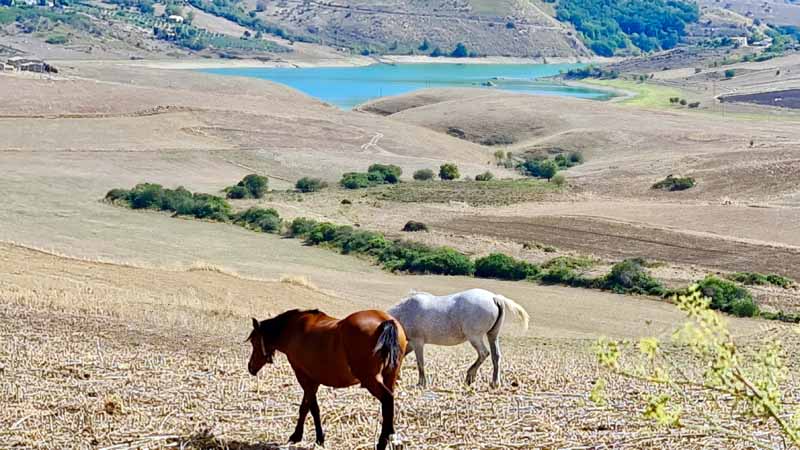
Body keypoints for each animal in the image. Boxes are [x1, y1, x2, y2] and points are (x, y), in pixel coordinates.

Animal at [245, 310, 406, 450]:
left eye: (254, 341)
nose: (250, 367)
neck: (294, 330)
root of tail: (386, 321)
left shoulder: (304, 378)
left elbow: (310, 408)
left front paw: (311, 437)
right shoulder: (313, 381)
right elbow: (308, 407)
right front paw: (305, 436)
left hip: (370, 379)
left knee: (387, 399)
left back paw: (382, 443)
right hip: (390, 376)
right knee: (389, 403)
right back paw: (393, 438)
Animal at [390, 290, 532, 388]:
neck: (405, 311)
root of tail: (494, 298)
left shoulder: (417, 342)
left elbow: (420, 363)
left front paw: (421, 383)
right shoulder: (411, 343)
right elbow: (401, 356)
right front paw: (398, 377)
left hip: (474, 337)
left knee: (483, 353)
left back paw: (470, 376)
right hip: (492, 335)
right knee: (495, 356)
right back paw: (494, 383)